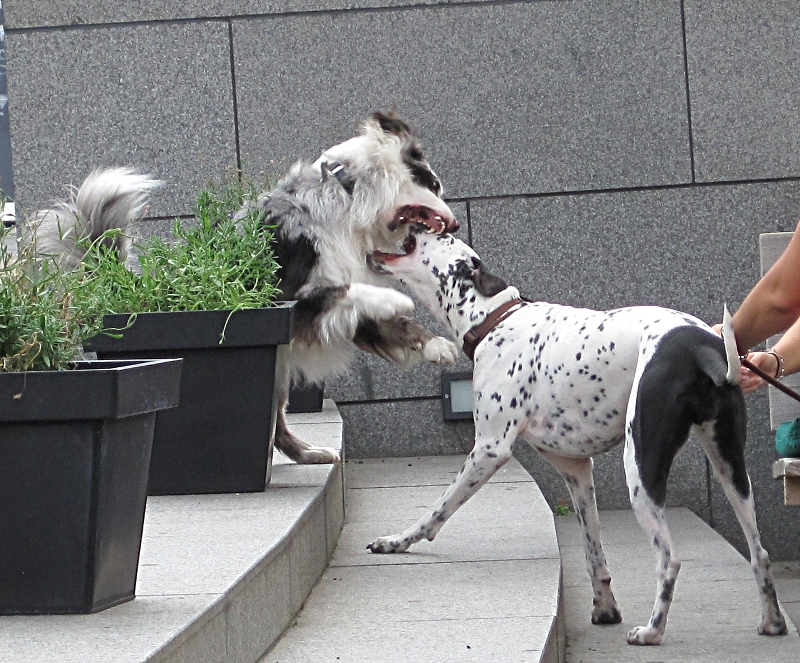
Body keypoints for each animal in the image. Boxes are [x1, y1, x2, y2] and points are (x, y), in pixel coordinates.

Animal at [25, 113, 460, 466]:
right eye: (435, 186)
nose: (456, 224)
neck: (348, 198)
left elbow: (391, 322)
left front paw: (436, 344)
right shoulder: (289, 296)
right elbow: (343, 290)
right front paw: (396, 298)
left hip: (279, 372)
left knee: (276, 423)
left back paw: (310, 454)